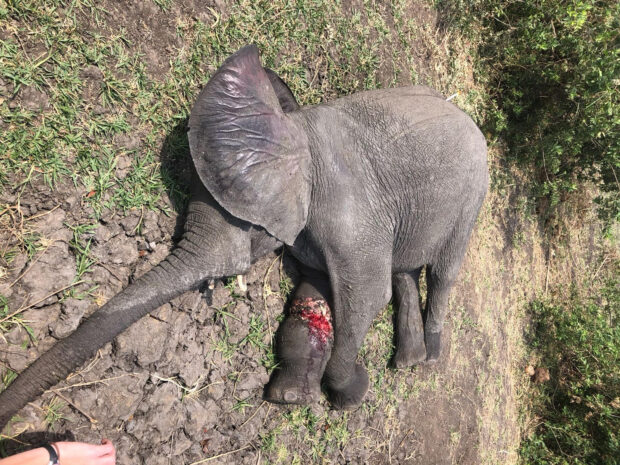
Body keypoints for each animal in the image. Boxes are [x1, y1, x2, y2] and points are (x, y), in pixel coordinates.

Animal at [0, 45, 490, 426]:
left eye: (252, 229)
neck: (296, 132)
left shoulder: (349, 212)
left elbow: (364, 296)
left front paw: (351, 396)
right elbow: (315, 297)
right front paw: (292, 399)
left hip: (474, 196)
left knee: (444, 272)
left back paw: (428, 357)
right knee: (405, 267)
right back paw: (408, 360)